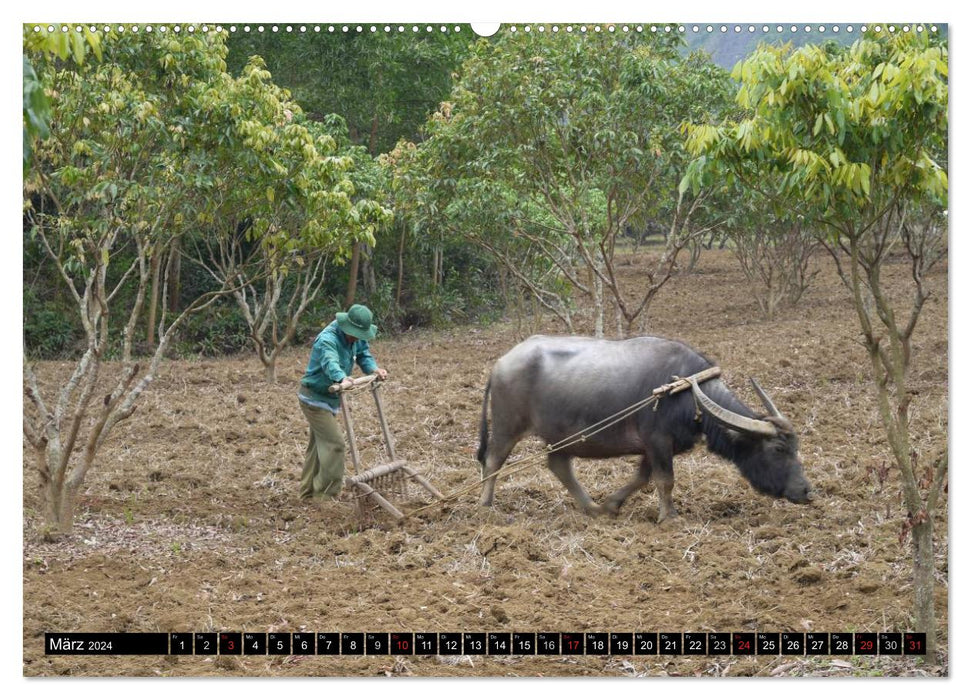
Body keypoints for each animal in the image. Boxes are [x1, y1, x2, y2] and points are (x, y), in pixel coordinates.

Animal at [478, 336, 812, 524]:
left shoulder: (653, 447)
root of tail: (500, 364)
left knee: (559, 465)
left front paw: (612, 504)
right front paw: (669, 518)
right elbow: (665, 480)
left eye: (796, 448)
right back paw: (486, 506)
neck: (686, 393)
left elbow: (643, 477)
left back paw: (592, 507)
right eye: (778, 449)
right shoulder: (658, 440)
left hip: (562, 437)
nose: (807, 491)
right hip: (508, 427)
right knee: (493, 462)